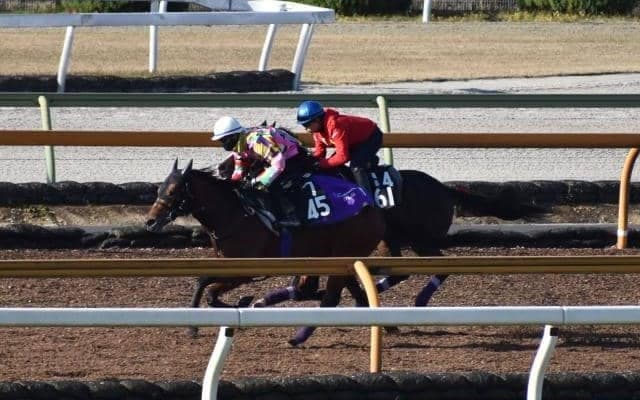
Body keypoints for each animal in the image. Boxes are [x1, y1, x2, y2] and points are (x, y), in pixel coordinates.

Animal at [144, 159, 386, 337]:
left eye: (174, 190)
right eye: (159, 188)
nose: (149, 221)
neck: (233, 215)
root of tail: (370, 205)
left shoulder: (245, 271)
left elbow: (206, 286)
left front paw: (196, 325)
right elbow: (205, 287)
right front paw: (240, 303)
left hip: (344, 253)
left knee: (333, 296)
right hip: (336, 258)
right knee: (348, 291)